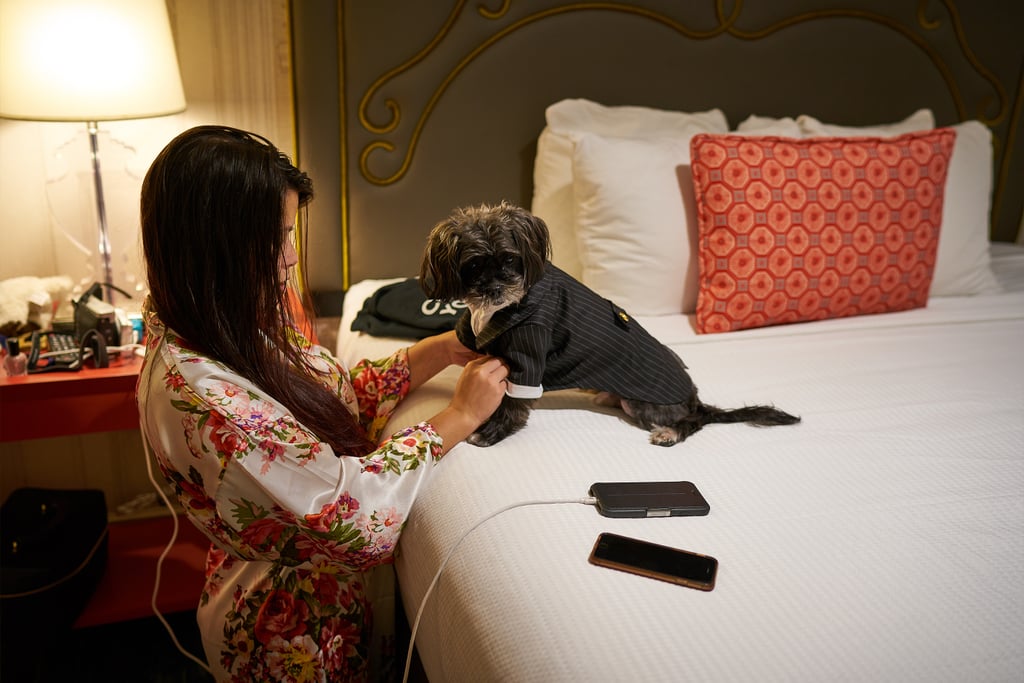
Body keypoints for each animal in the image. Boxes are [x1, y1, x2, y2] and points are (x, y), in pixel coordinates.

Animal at [417, 201, 798, 448]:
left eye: (510, 259)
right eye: (473, 266)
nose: (495, 291)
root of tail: (693, 397)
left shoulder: (529, 356)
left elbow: (513, 405)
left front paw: (491, 432)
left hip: (647, 405)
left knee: (696, 421)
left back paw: (672, 432)